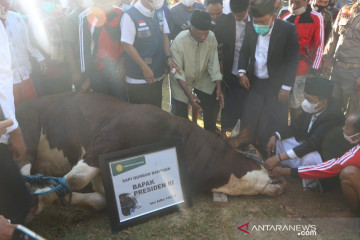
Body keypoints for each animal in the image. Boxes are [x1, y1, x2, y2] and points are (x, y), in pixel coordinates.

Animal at [15, 93, 286, 217]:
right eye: (253, 151)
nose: (282, 177)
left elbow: (98, 198)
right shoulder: (107, 139)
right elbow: (75, 179)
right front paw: (38, 197)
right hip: (25, 132)